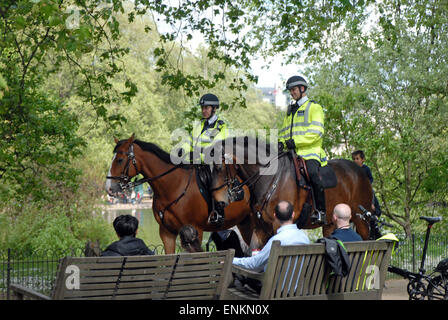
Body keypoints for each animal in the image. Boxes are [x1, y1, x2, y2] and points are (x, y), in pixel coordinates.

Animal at [103, 134, 254, 254]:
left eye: (120, 160)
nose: (109, 188)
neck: (173, 186)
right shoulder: (167, 232)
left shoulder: (196, 231)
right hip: (244, 223)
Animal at [208, 136, 372, 248]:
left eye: (218, 167)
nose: (219, 202)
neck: (270, 178)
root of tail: (359, 170)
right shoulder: (261, 228)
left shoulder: (279, 226)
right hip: (331, 223)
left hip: (361, 218)